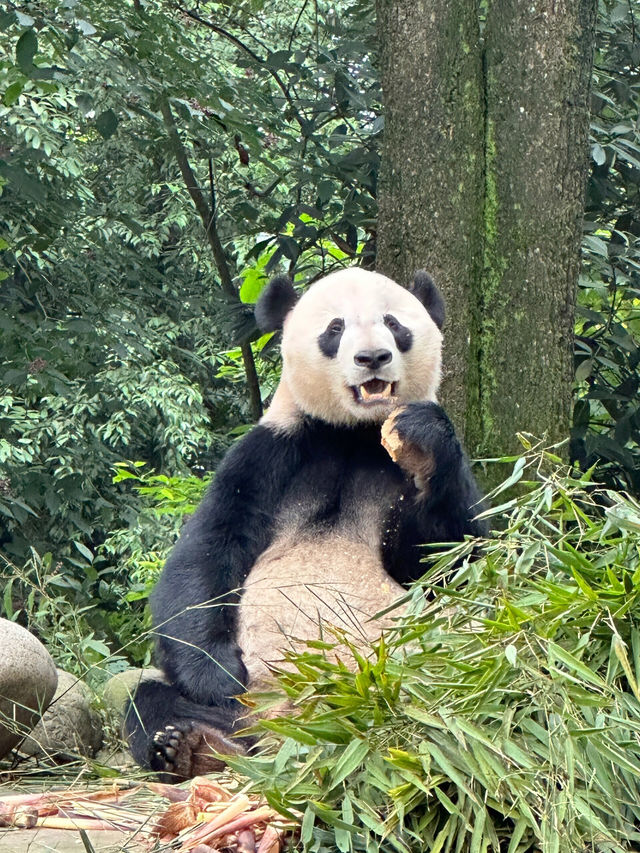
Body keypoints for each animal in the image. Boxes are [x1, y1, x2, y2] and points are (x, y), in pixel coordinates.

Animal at [124, 266, 484, 780]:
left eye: (394, 323)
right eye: (335, 329)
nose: (372, 357)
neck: (352, 434)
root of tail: (304, 732)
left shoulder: (399, 476)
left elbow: (447, 558)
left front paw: (422, 436)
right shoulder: (272, 451)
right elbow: (205, 556)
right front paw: (218, 675)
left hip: (422, 666)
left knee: (460, 667)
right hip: (251, 710)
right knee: (149, 699)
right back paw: (194, 746)